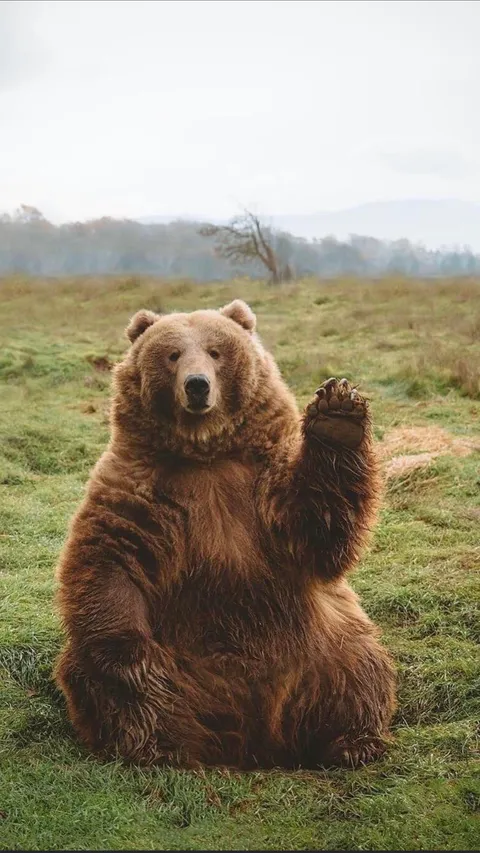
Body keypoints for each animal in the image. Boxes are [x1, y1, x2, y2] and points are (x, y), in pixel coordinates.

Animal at [54, 299, 396, 769]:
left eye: (216, 351)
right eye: (172, 354)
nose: (197, 386)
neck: (206, 453)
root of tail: (251, 737)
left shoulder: (264, 486)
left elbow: (319, 527)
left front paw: (337, 414)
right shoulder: (139, 488)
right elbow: (109, 558)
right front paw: (129, 656)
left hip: (319, 646)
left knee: (356, 668)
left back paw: (351, 742)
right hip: (183, 663)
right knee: (112, 688)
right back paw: (159, 746)